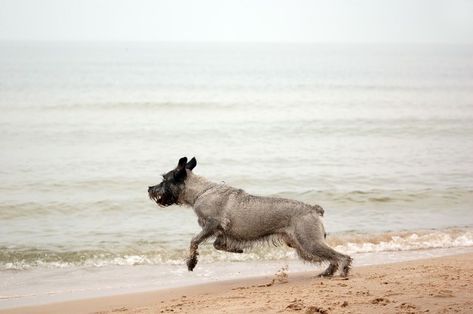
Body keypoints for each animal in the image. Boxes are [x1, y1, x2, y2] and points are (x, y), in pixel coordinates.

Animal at [148, 157, 350, 278]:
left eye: (164, 179)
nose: (150, 189)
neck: (200, 191)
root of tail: (313, 209)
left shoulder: (212, 224)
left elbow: (194, 241)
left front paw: (191, 262)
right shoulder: (220, 231)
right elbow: (217, 244)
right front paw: (235, 250)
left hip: (309, 242)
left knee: (341, 256)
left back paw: (343, 271)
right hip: (302, 245)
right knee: (333, 257)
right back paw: (328, 272)